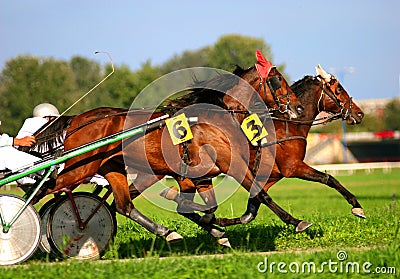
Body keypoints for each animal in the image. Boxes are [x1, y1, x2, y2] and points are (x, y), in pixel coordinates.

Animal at [35, 60, 304, 242]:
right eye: (279, 80)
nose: (299, 107)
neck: (213, 115)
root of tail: (77, 119)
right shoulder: (230, 163)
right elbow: (260, 194)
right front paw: (298, 221)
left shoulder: (202, 175)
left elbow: (209, 207)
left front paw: (215, 227)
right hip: (79, 167)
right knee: (45, 188)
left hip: (115, 168)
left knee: (124, 205)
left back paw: (166, 232)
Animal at [156, 65, 366, 234]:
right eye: (339, 89)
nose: (359, 113)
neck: (288, 126)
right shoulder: (292, 167)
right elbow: (328, 178)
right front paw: (357, 207)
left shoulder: (268, 176)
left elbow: (250, 211)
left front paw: (220, 221)